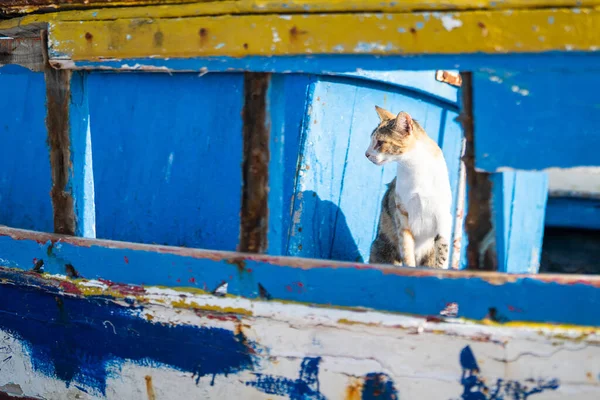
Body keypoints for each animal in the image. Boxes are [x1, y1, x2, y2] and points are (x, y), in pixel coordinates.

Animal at [364, 106, 452, 268]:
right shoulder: (401, 212)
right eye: (371, 140)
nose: (366, 154)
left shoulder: (443, 215)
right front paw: (410, 267)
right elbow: (406, 247)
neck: (415, 168)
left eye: (380, 142)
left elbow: (442, 250)